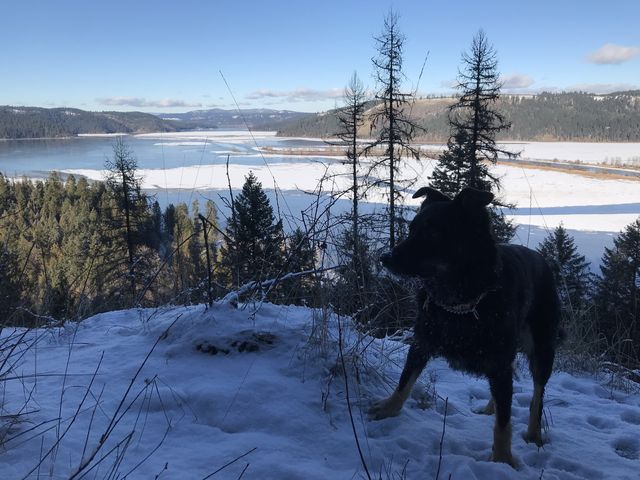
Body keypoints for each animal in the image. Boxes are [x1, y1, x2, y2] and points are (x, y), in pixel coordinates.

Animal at [370, 187, 560, 464]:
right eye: (412, 229)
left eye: (433, 232)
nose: (385, 258)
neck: (460, 302)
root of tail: (541, 259)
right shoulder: (421, 342)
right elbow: (405, 381)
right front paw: (388, 408)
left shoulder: (499, 362)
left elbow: (504, 423)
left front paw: (502, 460)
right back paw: (491, 407)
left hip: (543, 350)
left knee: (537, 395)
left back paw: (533, 435)